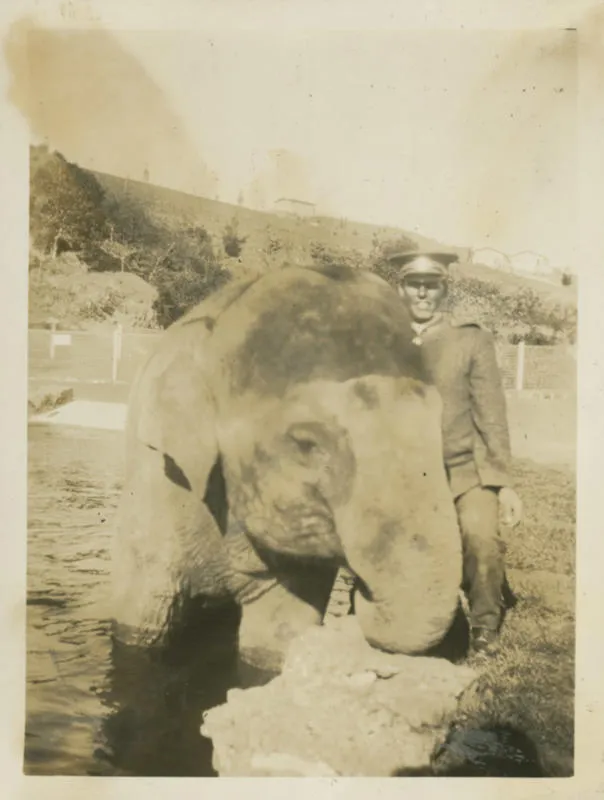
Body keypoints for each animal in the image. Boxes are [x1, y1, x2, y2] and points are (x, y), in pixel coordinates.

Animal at [111, 263, 463, 671]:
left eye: (438, 428)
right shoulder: (158, 480)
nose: (360, 592)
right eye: (307, 444)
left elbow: (277, 634)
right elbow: (142, 619)